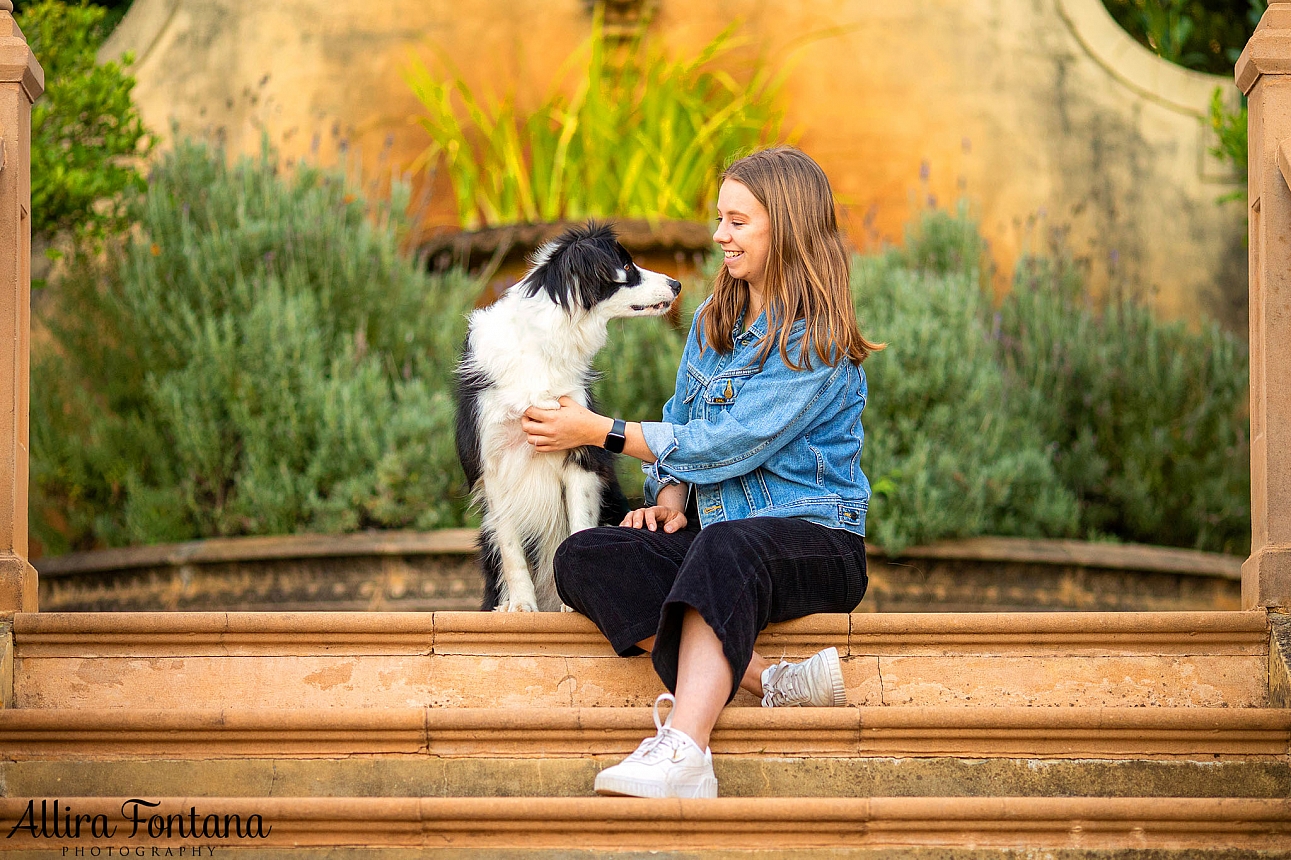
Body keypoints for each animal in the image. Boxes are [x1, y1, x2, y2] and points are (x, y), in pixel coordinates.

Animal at [457, 220, 686, 609]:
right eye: (627, 267)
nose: (677, 284)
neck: (546, 340)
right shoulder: (494, 464)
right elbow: (511, 548)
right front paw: (521, 605)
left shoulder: (580, 455)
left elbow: (577, 528)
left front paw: (571, 603)